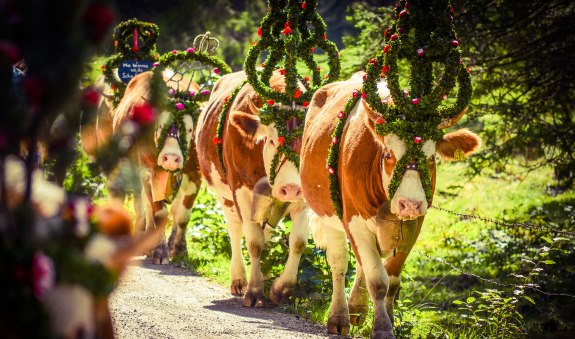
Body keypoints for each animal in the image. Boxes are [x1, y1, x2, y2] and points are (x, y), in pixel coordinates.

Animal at [111, 71, 204, 262]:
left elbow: (183, 215)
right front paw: (159, 251)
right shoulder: (148, 173)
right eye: (161, 126)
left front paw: (179, 250)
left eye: (190, 130)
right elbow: (158, 214)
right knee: (146, 205)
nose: (171, 158)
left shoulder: (195, 174)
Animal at [196, 70, 310, 306]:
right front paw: (255, 291)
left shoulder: (303, 199)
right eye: (272, 141)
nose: (291, 189)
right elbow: (254, 241)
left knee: (265, 230)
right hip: (225, 196)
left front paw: (281, 288)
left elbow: (298, 242)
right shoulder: (240, 190)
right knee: (235, 229)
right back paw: (239, 280)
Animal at [300, 73, 484, 338]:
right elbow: (378, 281)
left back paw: (357, 308)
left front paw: (389, 319)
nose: (410, 204)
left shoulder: (414, 225)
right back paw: (340, 317)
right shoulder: (354, 221)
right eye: (388, 155)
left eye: (431, 157)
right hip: (329, 217)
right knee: (339, 264)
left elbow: (392, 281)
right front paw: (383, 327)